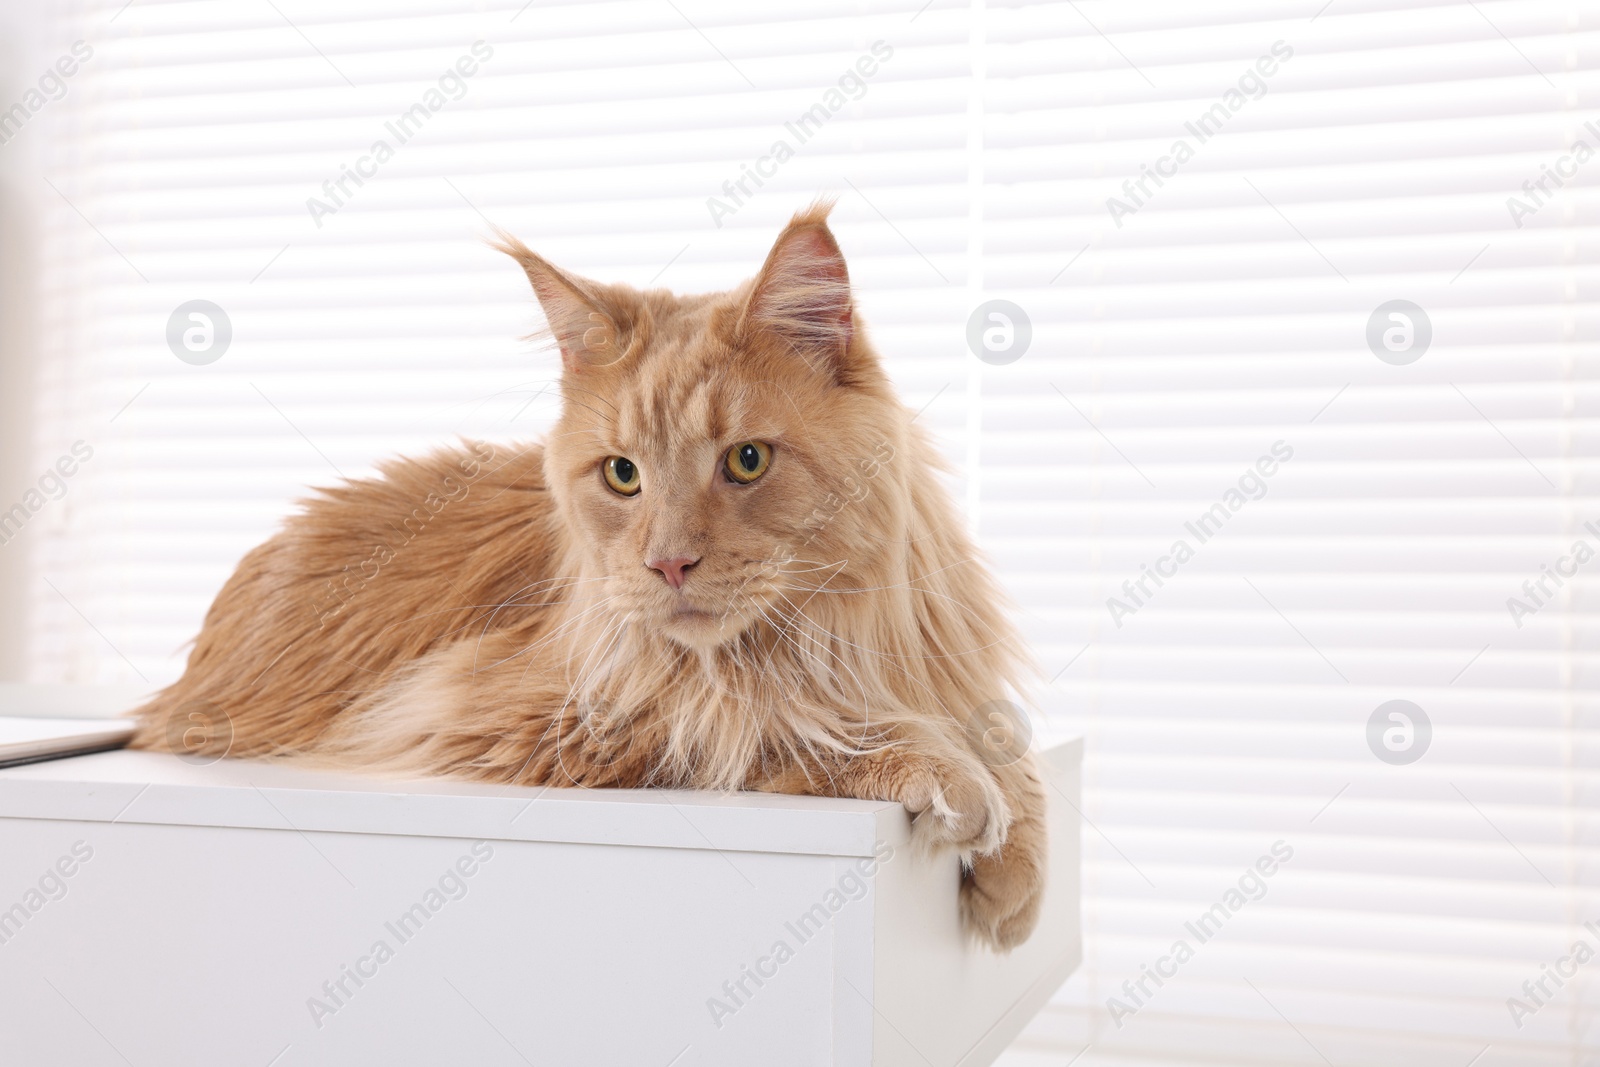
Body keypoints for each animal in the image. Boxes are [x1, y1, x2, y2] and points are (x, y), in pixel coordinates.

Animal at [131, 199, 1043, 953]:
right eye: (622, 476)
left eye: (747, 460)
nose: (668, 561)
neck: (832, 638)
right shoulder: (512, 712)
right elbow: (774, 727)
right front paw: (946, 777)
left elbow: (1006, 736)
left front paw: (1020, 865)